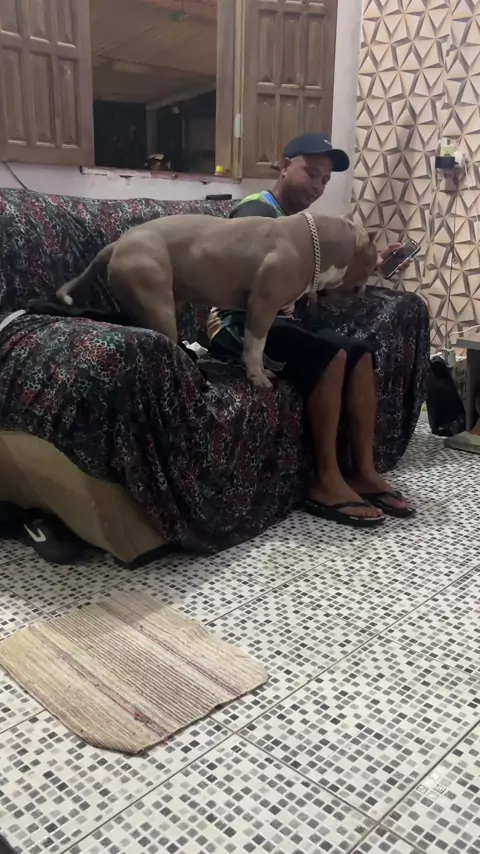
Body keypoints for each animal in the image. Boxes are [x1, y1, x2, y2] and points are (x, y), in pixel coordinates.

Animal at [56, 213, 377, 388]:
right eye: (372, 262)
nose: (365, 293)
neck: (314, 243)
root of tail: (118, 243)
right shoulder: (262, 306)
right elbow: (255, 346)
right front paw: (257, 376)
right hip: (157, 300)